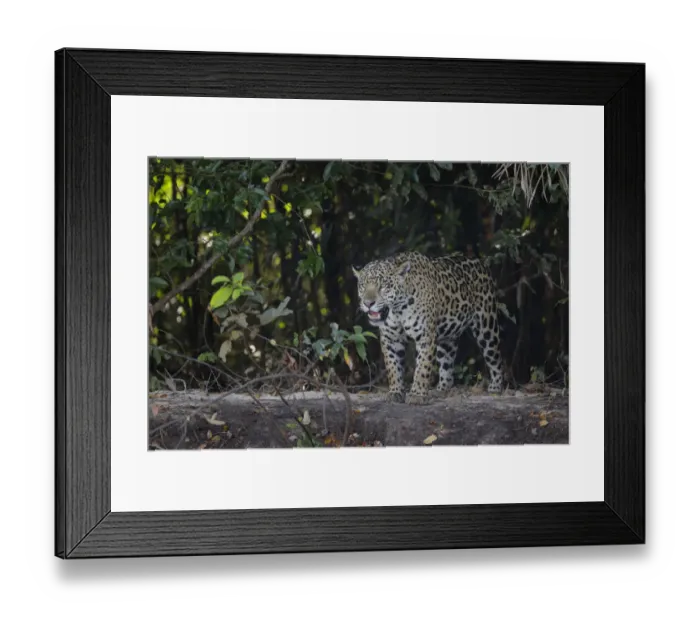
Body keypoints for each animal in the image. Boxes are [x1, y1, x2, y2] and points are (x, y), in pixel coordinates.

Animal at [352, 250, 504, 405]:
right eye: (363, 285)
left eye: (383, 286)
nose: (368, 303)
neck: (397, 310)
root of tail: (479, 261)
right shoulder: (390, 340)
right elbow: (393, 368)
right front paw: (395, 392)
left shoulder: (425, 337)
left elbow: (422, 367)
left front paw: (417, 395)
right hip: (447, 338)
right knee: (447, 364)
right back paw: (441, 390)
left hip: (486, 327)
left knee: (496, 358)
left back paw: (495, 388)